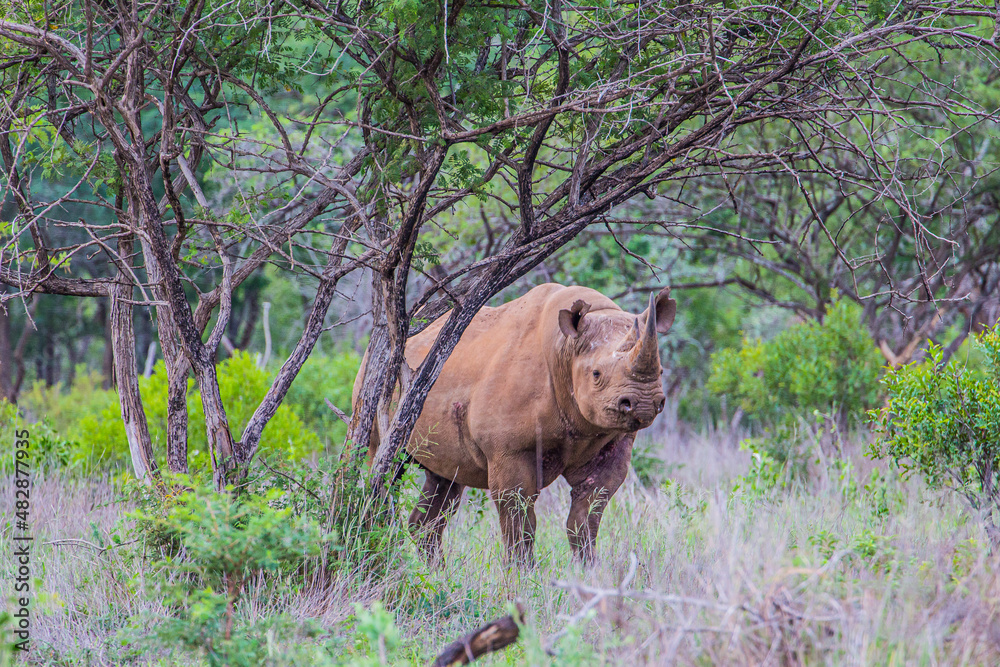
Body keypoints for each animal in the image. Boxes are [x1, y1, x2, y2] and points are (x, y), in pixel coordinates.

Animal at [353, 283, 675, 564]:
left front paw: (589, 573)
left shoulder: (611, 440)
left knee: (444, 479)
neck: (566, 349)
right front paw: (523, 579)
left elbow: (585, 519)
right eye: (596, 374)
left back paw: (435, 575)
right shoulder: (509, 450)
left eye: (660, 370)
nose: (643, 404)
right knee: (385, 466)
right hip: (375, 377)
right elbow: (519, 521)